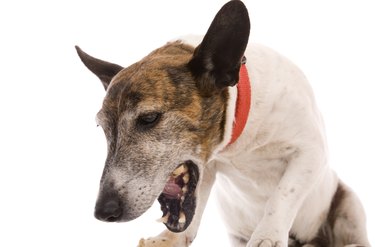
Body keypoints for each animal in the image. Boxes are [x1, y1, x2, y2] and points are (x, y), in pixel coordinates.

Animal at [75, 0, 370, 246]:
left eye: (149, 118)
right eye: (102, 127)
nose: (103, 212)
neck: (238, 140)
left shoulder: (310, 153)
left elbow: (283, 195)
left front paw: (267, 237)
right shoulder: (208, 169)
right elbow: (192, 213)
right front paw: (169, 239)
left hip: (349, 204)